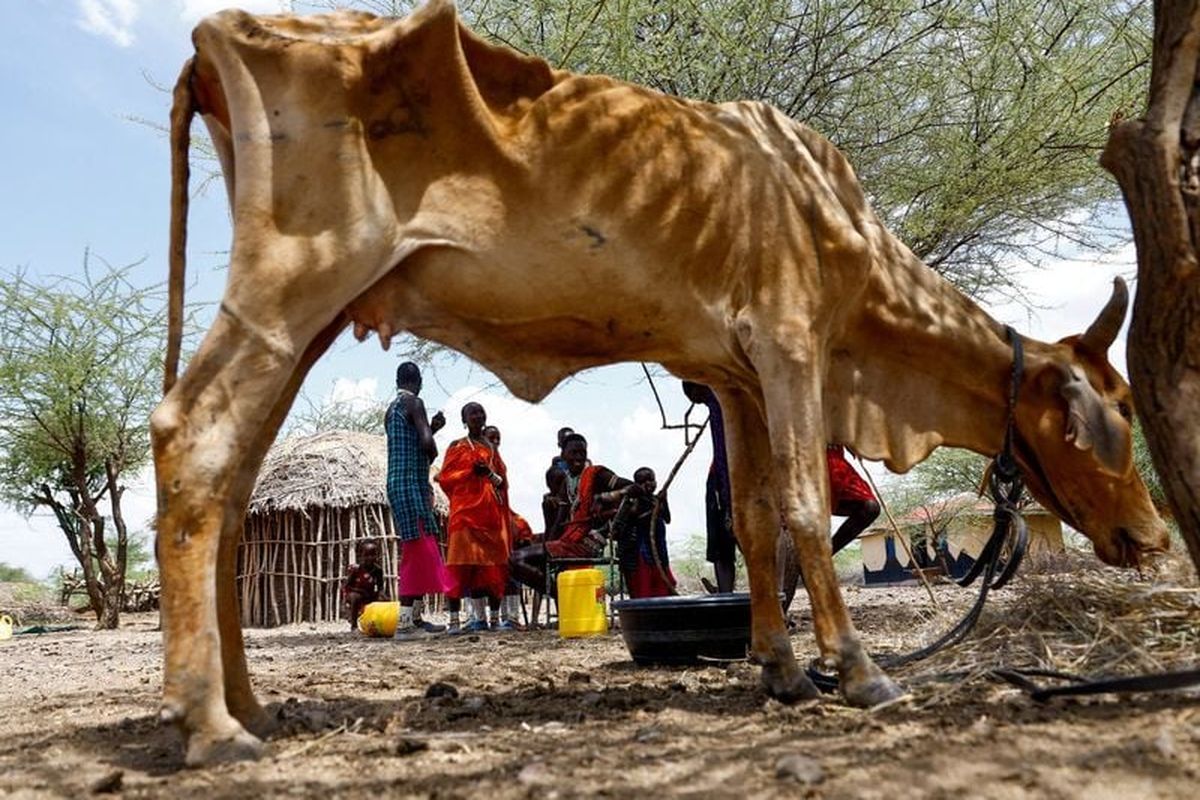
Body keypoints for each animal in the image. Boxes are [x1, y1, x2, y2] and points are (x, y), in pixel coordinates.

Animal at [153, 0, 1169, 765]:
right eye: (1113, 413)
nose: (1156, 534)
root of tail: (217, 35)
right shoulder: (790, 346)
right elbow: (804, 507)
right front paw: (857, 671)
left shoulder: (738, 379)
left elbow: (754, 523)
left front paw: (782, 670)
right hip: (288, 295)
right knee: (189, 439)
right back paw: (210, 723)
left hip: (311, 320)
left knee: (235, 487)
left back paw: (247, 703)